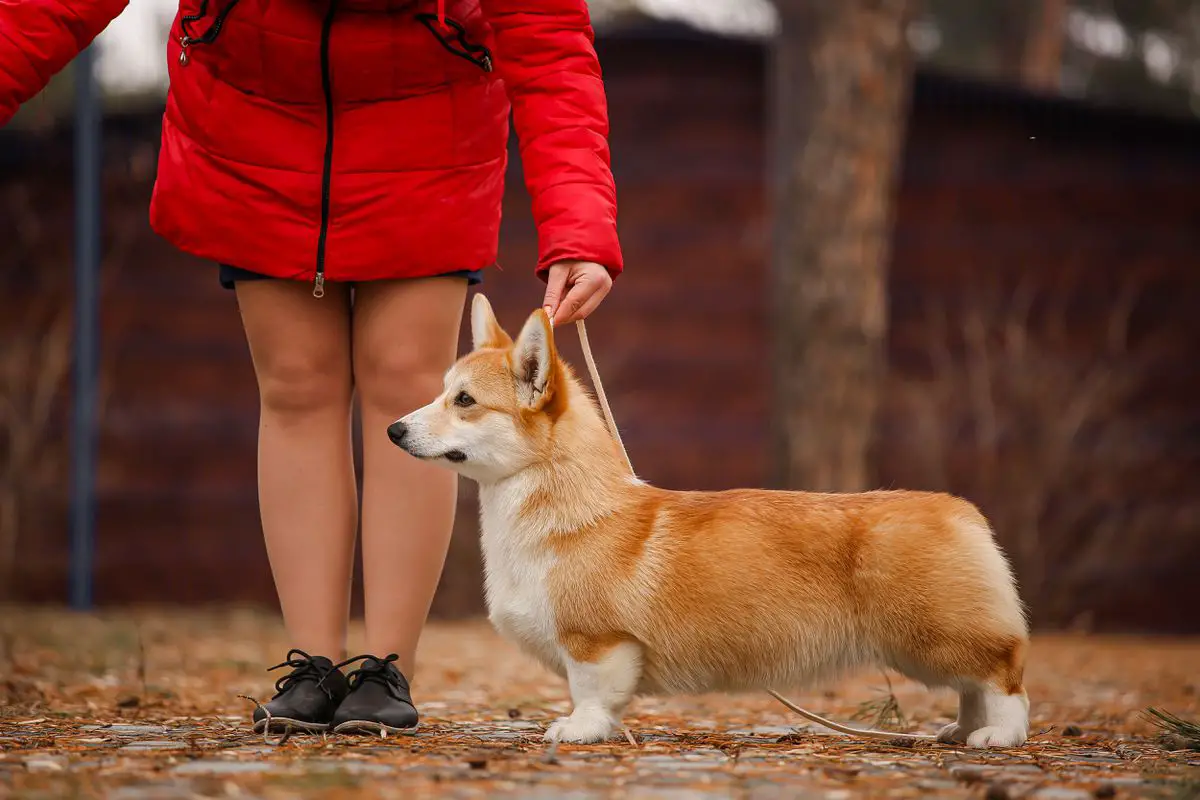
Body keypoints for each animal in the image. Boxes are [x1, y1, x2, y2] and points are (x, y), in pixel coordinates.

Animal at [386, 296, 1032, 753]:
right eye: (444, 393)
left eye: (465, 401)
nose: (393, 430)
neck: (559, 498)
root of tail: (960, 510)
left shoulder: (596, 642)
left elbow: (589, 691)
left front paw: (577, 730)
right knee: (973, 688)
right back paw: (958, 732)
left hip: (936, 635)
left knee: (1002, 677)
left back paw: (997, 737)